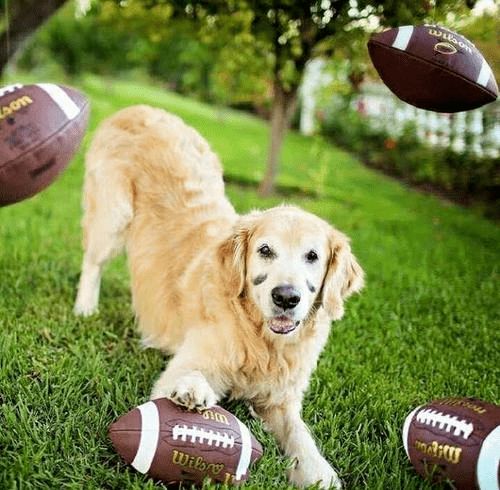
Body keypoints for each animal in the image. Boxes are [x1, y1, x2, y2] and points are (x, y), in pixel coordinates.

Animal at [73, 105, 364, 488]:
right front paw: (194, 389)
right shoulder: (184, 365)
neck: (261, 340)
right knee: (92, 262)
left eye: (312, 256)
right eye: (265, 250)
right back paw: (85, 308)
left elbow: (300, 437)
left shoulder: (280, 400)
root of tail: (140, 108)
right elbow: (188, 378)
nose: (286, 297)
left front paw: (320, 472)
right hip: (114, 214)